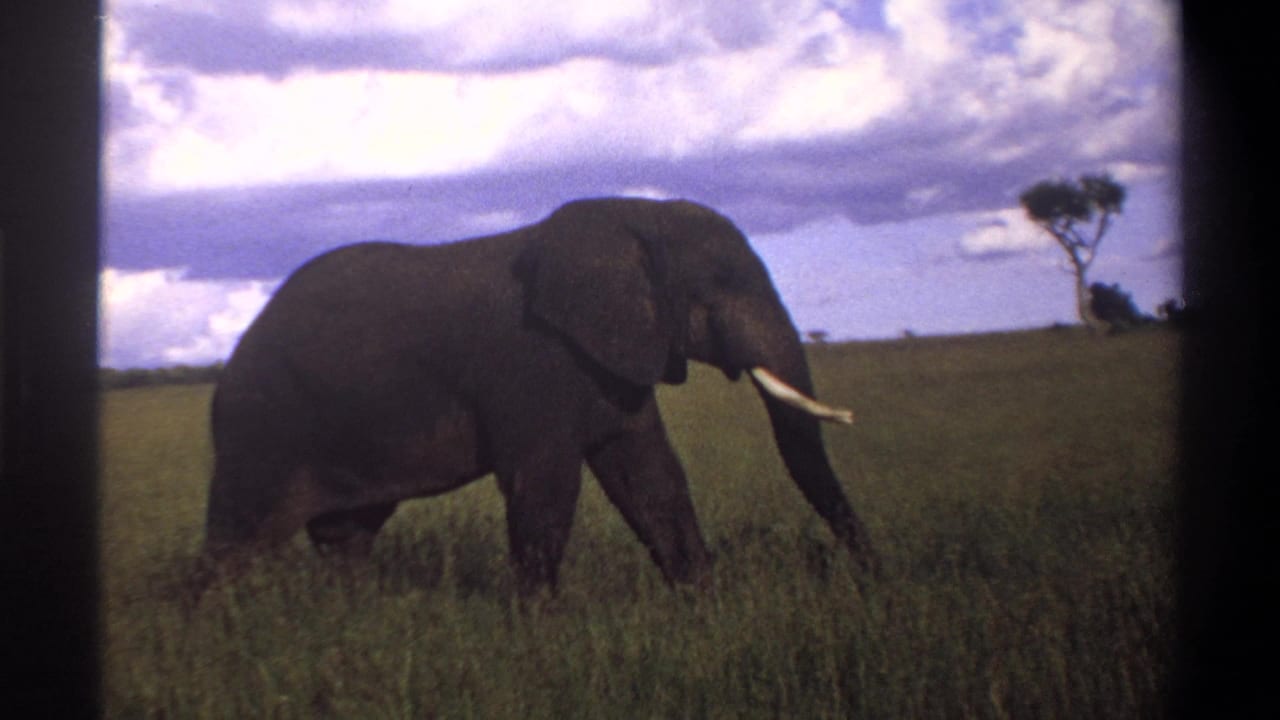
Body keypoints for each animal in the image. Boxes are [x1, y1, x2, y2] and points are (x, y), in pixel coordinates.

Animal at [204, 196, 876, 595]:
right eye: (720, 284)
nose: (869, 575)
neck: (632, 217)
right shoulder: (533, 364)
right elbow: (546, 484)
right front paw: (540, 633)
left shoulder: (613, 361)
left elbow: (650, 476)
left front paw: (702, 604)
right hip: (261, 426)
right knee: (235, 541)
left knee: (346, 536)